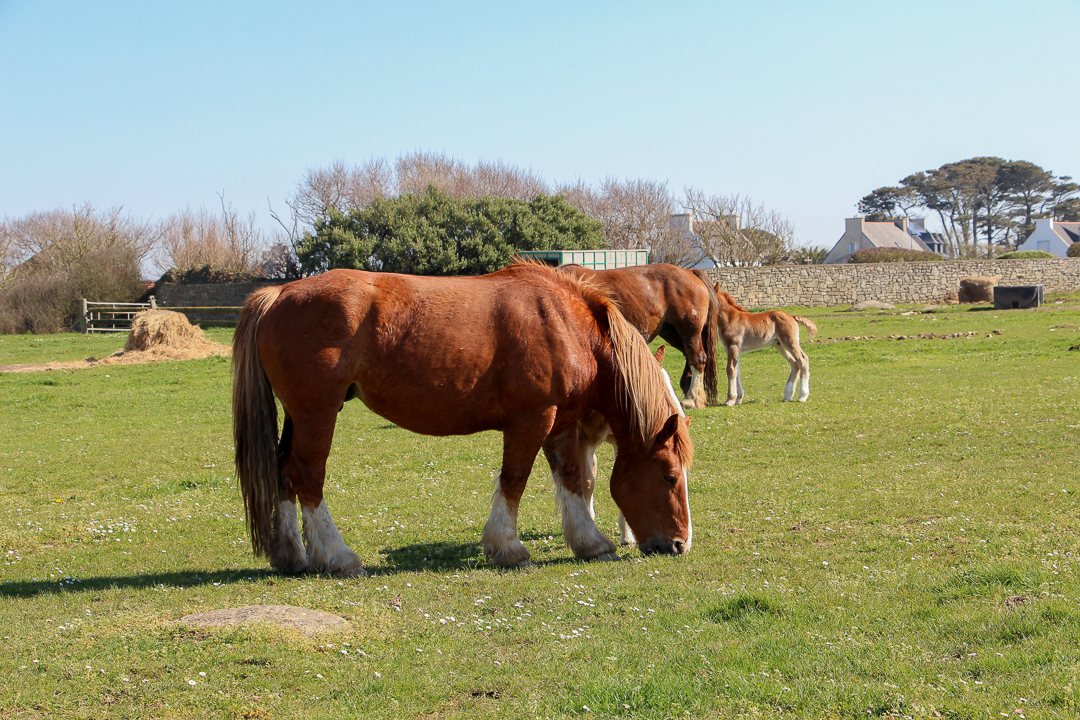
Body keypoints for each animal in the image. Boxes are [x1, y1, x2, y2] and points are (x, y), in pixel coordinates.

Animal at [232, 262, 695, 578]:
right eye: (670, 476)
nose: (679, 545)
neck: (566, 325)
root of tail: (278, 294)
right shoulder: (531, 420)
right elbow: (514, 480)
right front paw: (507, 547)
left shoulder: (562, 424)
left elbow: (572, 480)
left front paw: (590, 542)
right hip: (317, 412)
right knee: (306, 475)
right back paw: (336, 556)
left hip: (298, 415)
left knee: (282, 473)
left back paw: (291, 555)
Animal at [557, 264, 717, 410]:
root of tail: (690, 272)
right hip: (672, 333)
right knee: (688, 356)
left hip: (690, 332)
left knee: (697, 358)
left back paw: (692, 398)